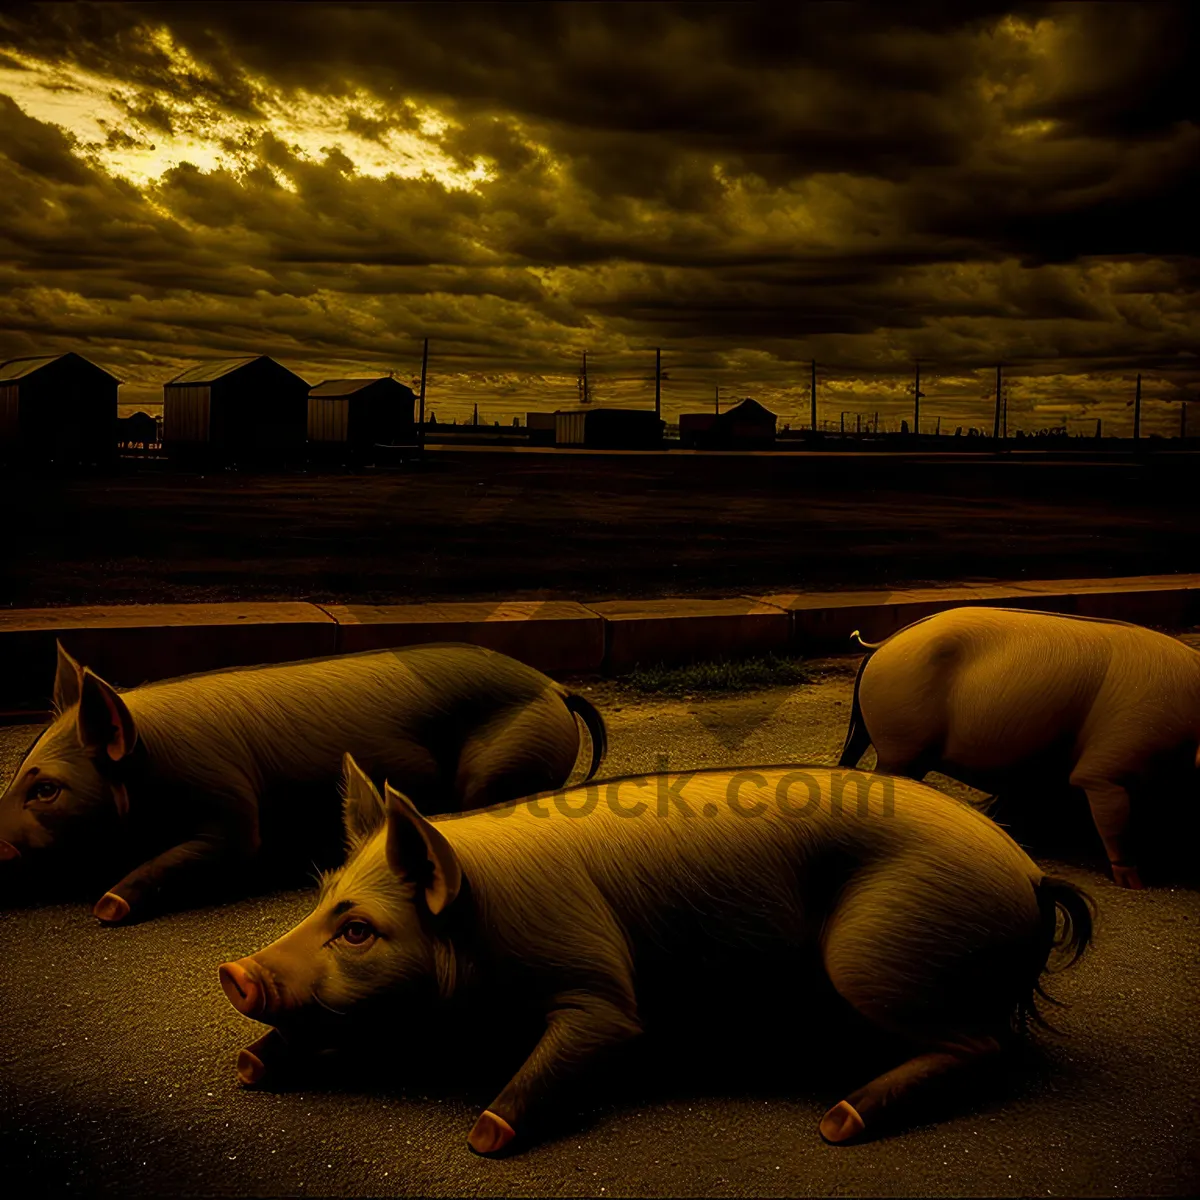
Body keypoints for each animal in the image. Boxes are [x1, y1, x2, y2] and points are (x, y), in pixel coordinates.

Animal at [0, 643, 604, 921]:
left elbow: (209, 851)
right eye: (18, 772)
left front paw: (107, 907)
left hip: (507, 764)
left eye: (46, 788)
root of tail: (554, 686)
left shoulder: (231, 809)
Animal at [218, 753, 1099, 1156]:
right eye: (320, 894)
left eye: (358, 929)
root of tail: (1028, 872)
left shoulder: (598, 981)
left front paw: (486, 1137)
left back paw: (837, 1122)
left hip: (880, 954)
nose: (235, 973)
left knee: (981, 1047)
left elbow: (594, 1038)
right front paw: (250, 1068)